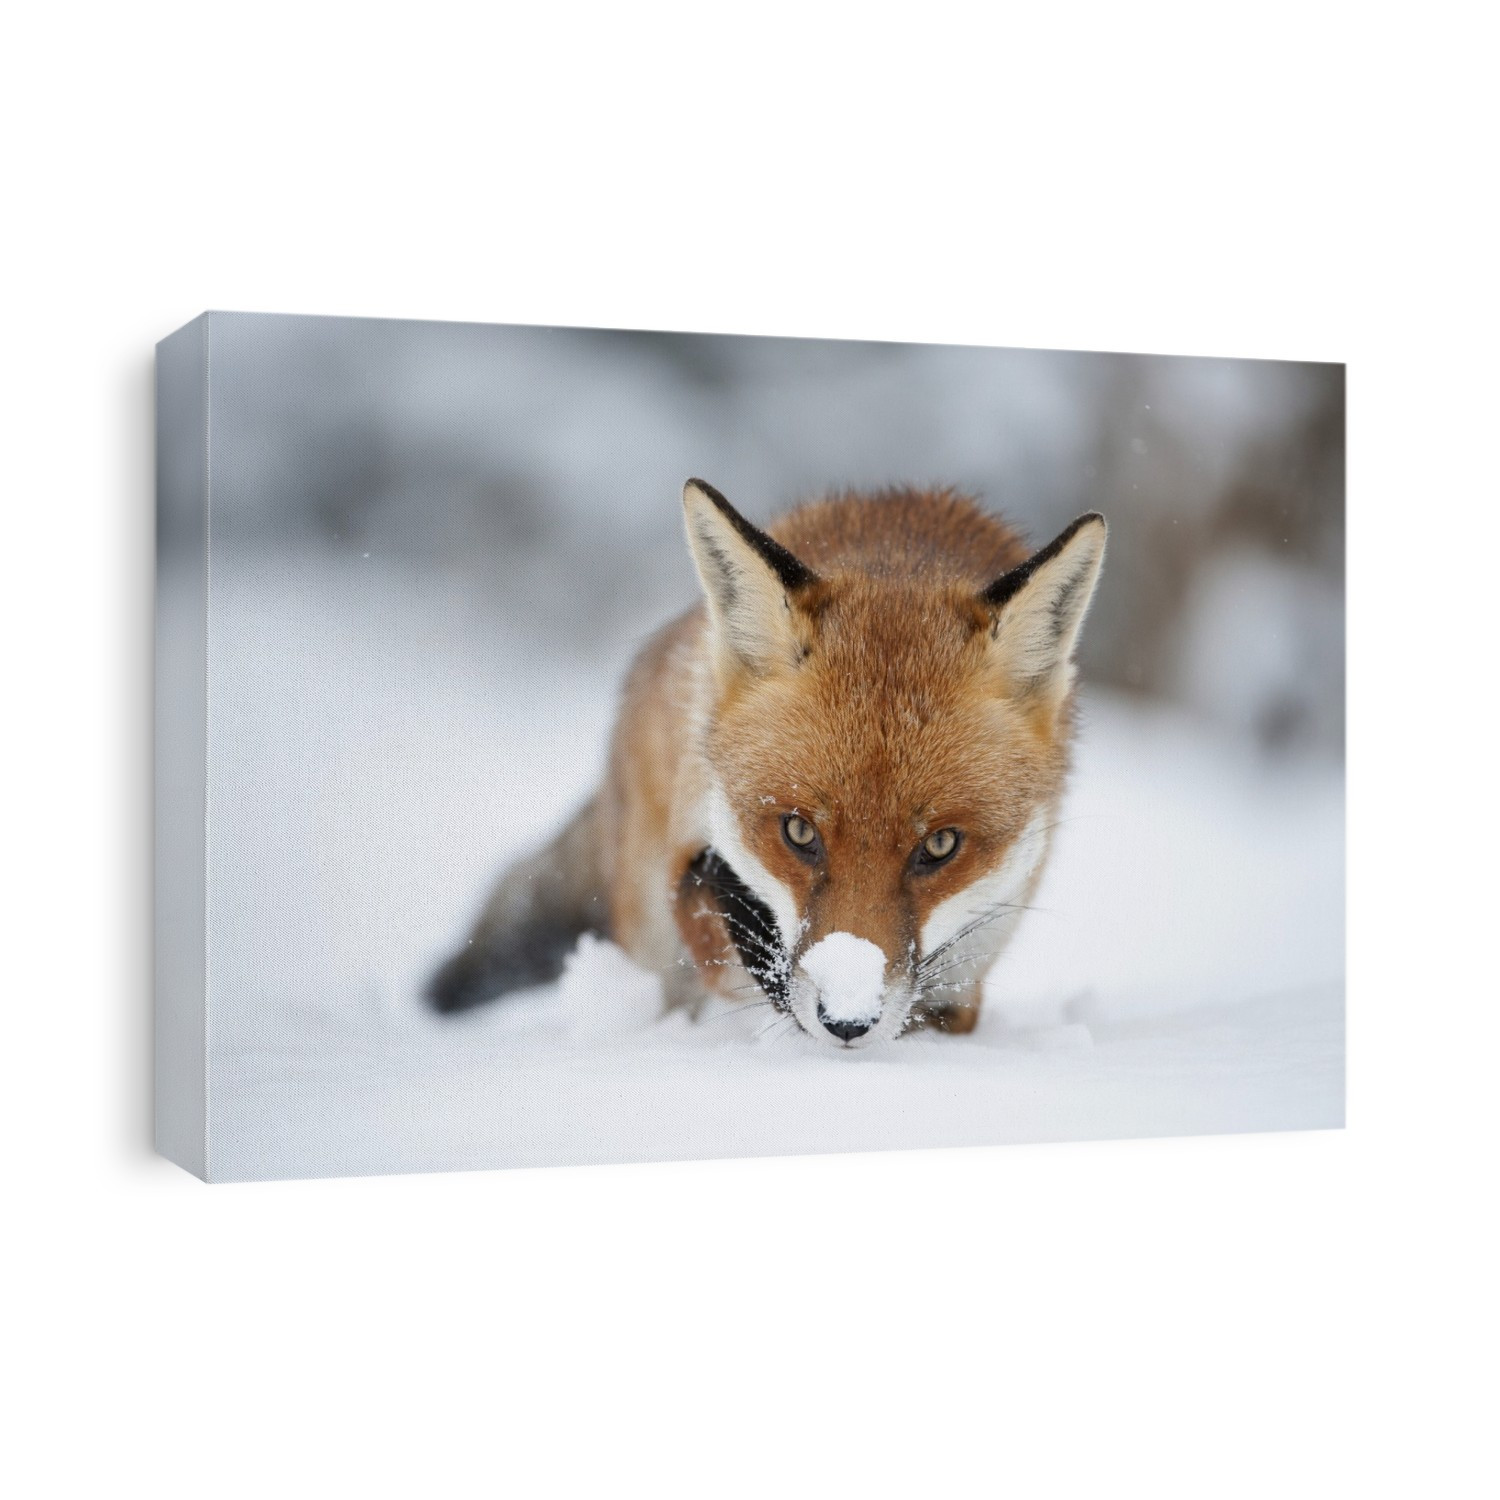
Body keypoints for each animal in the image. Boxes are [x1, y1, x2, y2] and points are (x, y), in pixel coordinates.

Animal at [427, 480, 1107, 1047]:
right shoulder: (691, 850)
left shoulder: (968, 975)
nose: (847, 1022)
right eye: (799, 832)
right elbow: (725, 935)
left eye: (939, 846)